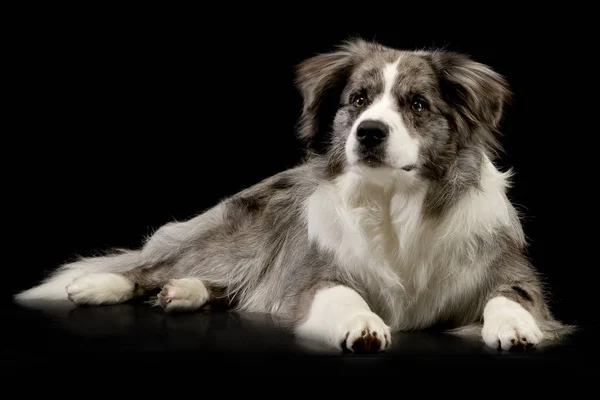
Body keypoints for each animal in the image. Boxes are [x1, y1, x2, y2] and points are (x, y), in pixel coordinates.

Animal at [15, 39, 572, 354]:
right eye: (358, 100)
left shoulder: (512, 272)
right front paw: (362, 324)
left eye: (417, 104)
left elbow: (510, 296)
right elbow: (340, 294)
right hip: (232, 237)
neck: (395, 205)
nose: (369, 132)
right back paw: (98, 285)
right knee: (155, 264)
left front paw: (515, 328)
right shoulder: (313, 276)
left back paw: (187, 292)